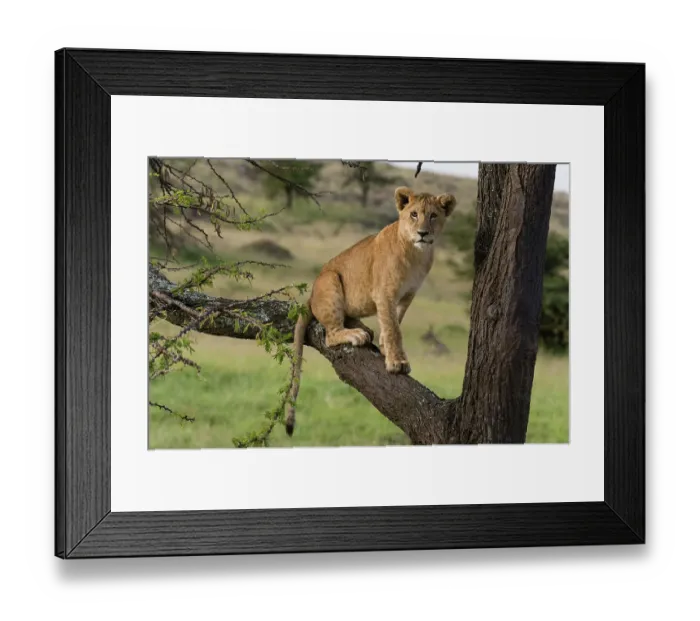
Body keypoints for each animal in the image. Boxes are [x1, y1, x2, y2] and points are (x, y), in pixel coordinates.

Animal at [285, 186, 457, 436]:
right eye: (414, 214)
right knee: (330, 335)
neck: (416, 254)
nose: (423, 233)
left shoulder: (407, 296)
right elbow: (393, 328)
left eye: (433, 216)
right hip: (330, 279)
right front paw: (397, 363)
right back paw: (355, 334)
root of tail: (310, 296)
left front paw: (385, 347)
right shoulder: (384, 293)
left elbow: (394, 322)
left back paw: (364, 329)